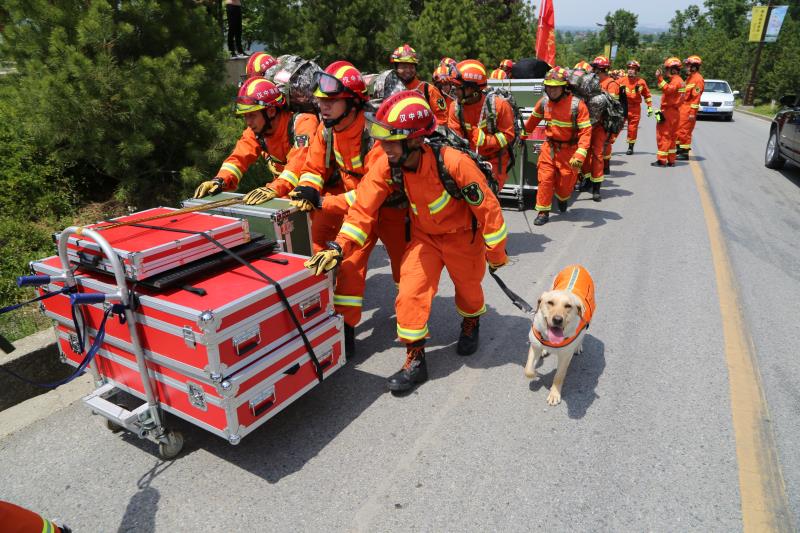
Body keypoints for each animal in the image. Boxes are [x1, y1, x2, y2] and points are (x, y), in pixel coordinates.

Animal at [524, 264, 592, 406]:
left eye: (568, 306)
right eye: (550, 303)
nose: (557, 319)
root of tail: (577, 265)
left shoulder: (565, 357)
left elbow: (559, 376)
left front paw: (554, 394)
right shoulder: (534, 346)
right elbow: (528, 370)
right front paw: (536, 373)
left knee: (583, 334)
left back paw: (578, 346)